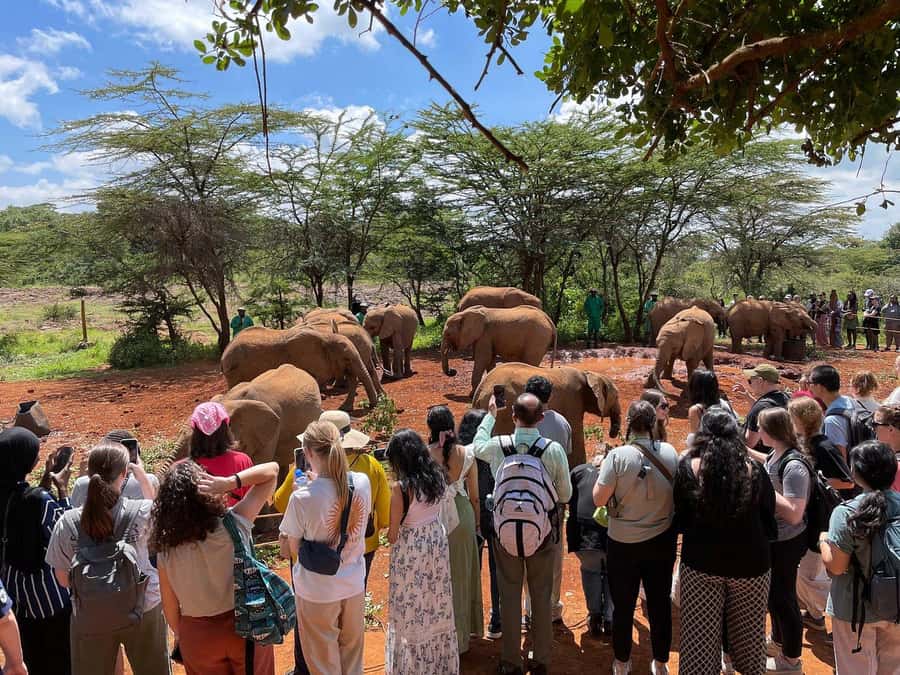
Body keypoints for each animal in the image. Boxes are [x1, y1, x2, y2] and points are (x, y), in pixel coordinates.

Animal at [221, 325, 381, 411]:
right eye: (346, 358)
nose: (371, 406)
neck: (326, 337)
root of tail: (225, 352)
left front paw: (344, 409)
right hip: (234, 371)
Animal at [472, 363, 621, 468]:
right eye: (616, 396)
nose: (612, 434)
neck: (587, 374)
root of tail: (480, 390)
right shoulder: (573, 402)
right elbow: (576, 436)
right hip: (503, 415)